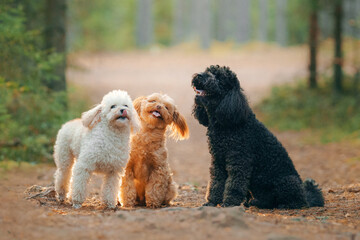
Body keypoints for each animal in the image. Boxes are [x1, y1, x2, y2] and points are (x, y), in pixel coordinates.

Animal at [193, 65, 324, 208]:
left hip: (288, 181)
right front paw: (212, 202)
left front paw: (229, 203)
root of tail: (306, 196)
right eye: (208, 71)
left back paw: (286, 205)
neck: (225, 124)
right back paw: (256, 202)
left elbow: (234, 185)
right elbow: (216, 183)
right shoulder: (218, 161)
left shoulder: (239, 161)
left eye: (218, 77)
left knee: (298, 201)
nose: (199, 75)